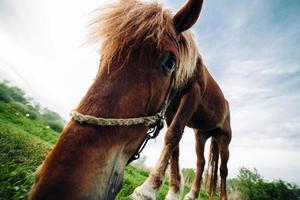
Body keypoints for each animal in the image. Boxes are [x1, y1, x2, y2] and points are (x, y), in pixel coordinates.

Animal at [28, 0, 231, 199]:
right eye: (103, 54)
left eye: (170, 62)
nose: (56, 185)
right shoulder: (171, 108)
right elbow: (175, 147)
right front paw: (173, 192)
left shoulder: (193, 94)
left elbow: (173, 136)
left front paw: (147, 190)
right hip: (201, 135)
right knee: (201, 163)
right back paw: (192, 194)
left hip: (224, 140)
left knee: (223, 170)